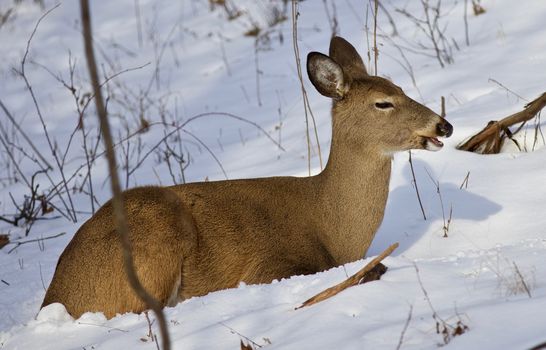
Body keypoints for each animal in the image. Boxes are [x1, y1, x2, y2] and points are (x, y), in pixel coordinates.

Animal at [41, 37, 450, 318]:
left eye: (400, 88)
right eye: (383, 102)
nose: (443, 125)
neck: (333, 229)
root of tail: (56, 295)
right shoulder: (267, 267)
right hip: (154, 241)